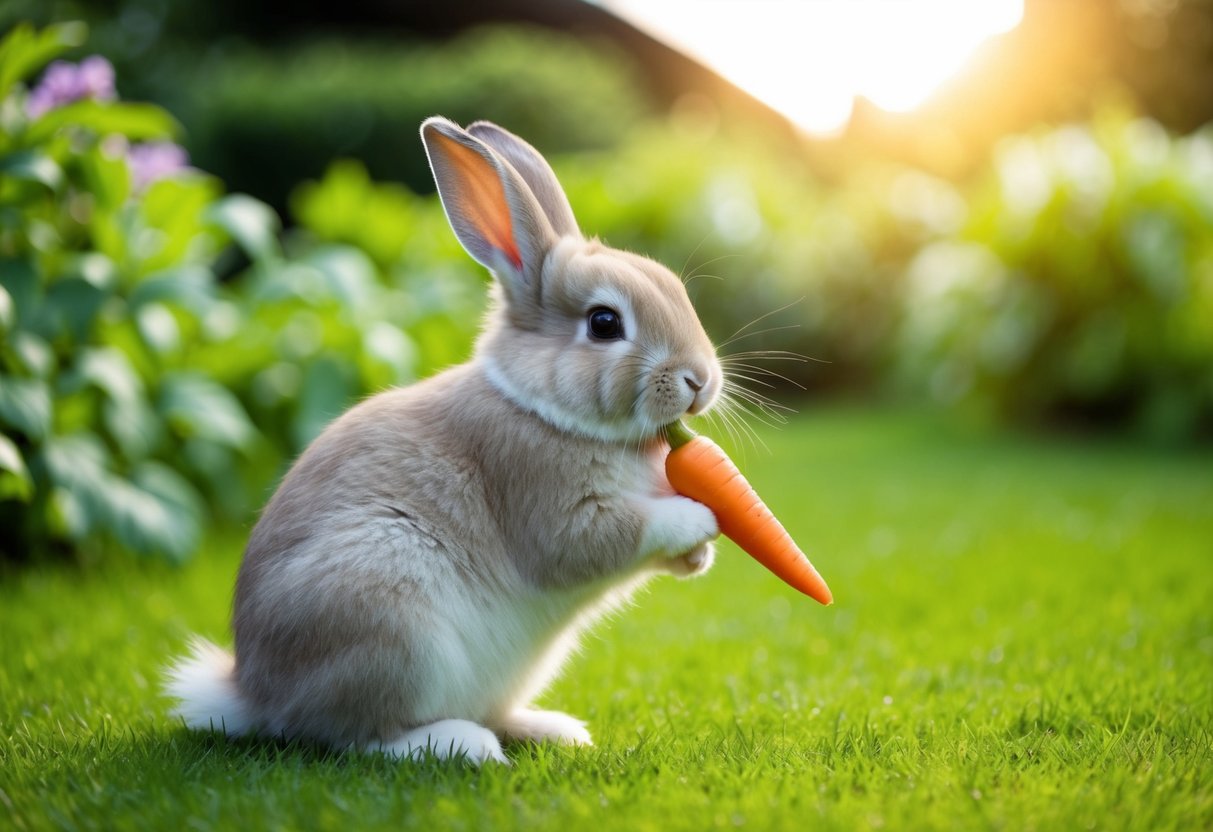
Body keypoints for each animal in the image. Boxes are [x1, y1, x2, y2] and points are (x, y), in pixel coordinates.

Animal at [166, 116, 724, 766]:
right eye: (604, 323)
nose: (700, 380)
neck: (542, 407)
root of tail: (252, 695)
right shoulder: (554, 508)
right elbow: (614, 534)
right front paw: (703, 520)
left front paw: (699, 557)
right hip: (388, 621)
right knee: (353, 737)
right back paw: (461, 745)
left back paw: (553, 730)